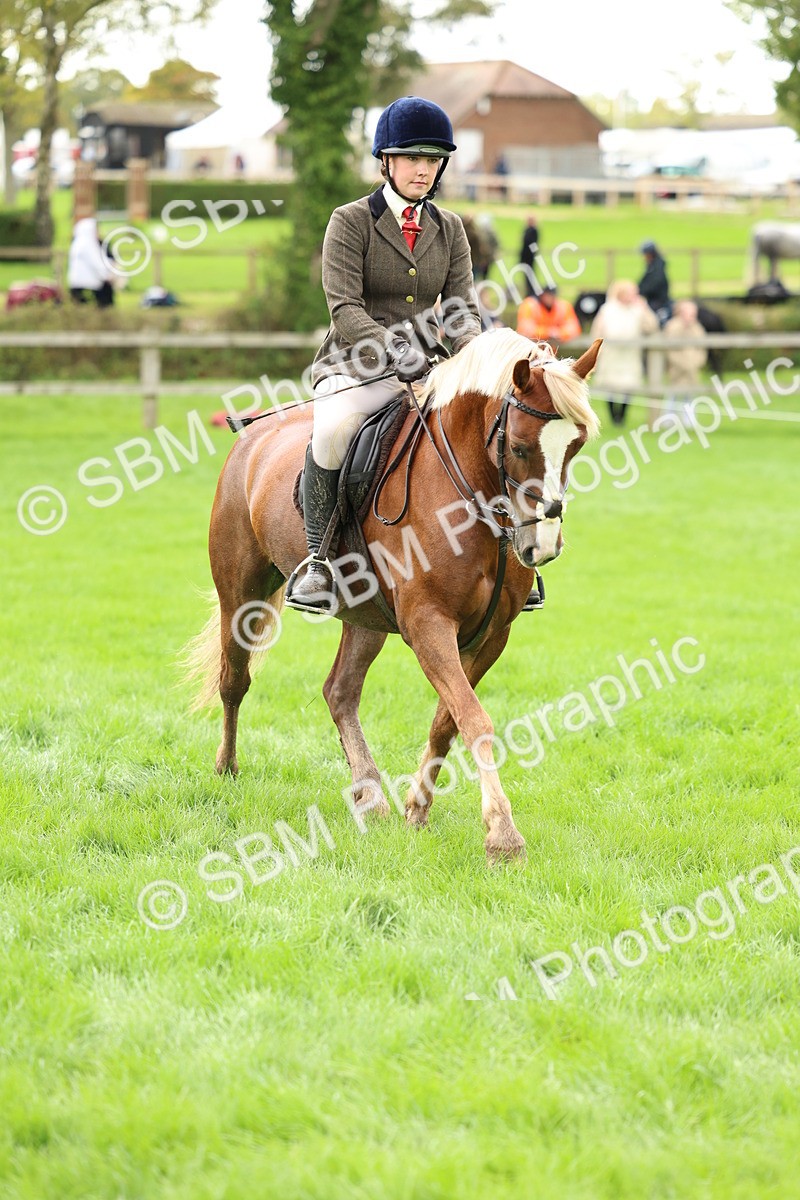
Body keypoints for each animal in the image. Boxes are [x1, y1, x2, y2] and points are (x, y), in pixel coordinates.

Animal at [185, 329, 602, 863]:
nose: (542, 546)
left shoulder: (491, 634)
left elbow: (448, 721)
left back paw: (370, 796)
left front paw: (417, 809)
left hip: (364, 617)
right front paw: (503, 836)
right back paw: (227, 769)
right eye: (519, 446)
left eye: (577, 444)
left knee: (339, 692)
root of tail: (253, 434)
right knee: (234, 681)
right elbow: (475, 719)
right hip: (241, 597)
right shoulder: (428, 623)